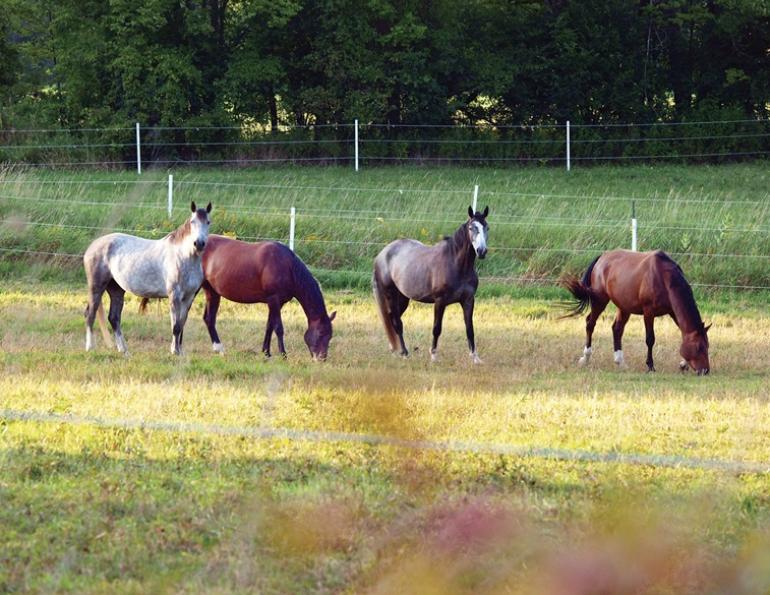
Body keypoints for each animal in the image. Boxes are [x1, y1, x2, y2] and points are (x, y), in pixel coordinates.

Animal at [83, 201, 212, 355]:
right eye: (193, 222)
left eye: (208, 222)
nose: (199, 243)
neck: (183, 256)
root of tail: (93, 246)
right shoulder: (174, 295)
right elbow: (175, 326)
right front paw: (174, 352)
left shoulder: (189, 297)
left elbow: (181, 324)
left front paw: (179, 352)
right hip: (96, 287)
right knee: (90, 314)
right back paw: (90, 347)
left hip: (116, 290)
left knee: (114, 318)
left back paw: (124, 351)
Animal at [198, 235, 336, 360]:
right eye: (321, 333)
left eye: (330, 336)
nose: (321, 358)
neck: (287, 265)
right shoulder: (274, 299)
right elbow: (278, 328)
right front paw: (283, 355)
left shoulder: (276, 303)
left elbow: (269, 326)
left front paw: (266, 353)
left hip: (212, 291)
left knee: (208, 318)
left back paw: (219, 350)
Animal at [373, 206, 489, 364]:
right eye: (472, 228)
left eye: (487, 227)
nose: (481, 251)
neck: (456, 265)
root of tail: (382, 254)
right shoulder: (440, 302)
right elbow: (437, 329)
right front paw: (433, 356)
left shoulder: (468, 300)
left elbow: (470, 329)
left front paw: (475, 358)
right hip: (390, 295)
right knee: (397, 322)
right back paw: (404, 352)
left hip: (403, 298)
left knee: (392, 320)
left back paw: (395, 348)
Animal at [560, 249, 710, 375]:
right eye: (699, 347)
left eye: (707, 346)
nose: (705, 371)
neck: (663, 276)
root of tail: (602, 257)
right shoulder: (648, 312)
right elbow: (650, 339)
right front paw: (650, 366)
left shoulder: (672, 311)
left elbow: (684, 334)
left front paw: (683, 364)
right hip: (600, 300)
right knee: (590, 323)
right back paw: (585, 358)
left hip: (624, 307)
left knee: (617, 329)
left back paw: (620, 362)